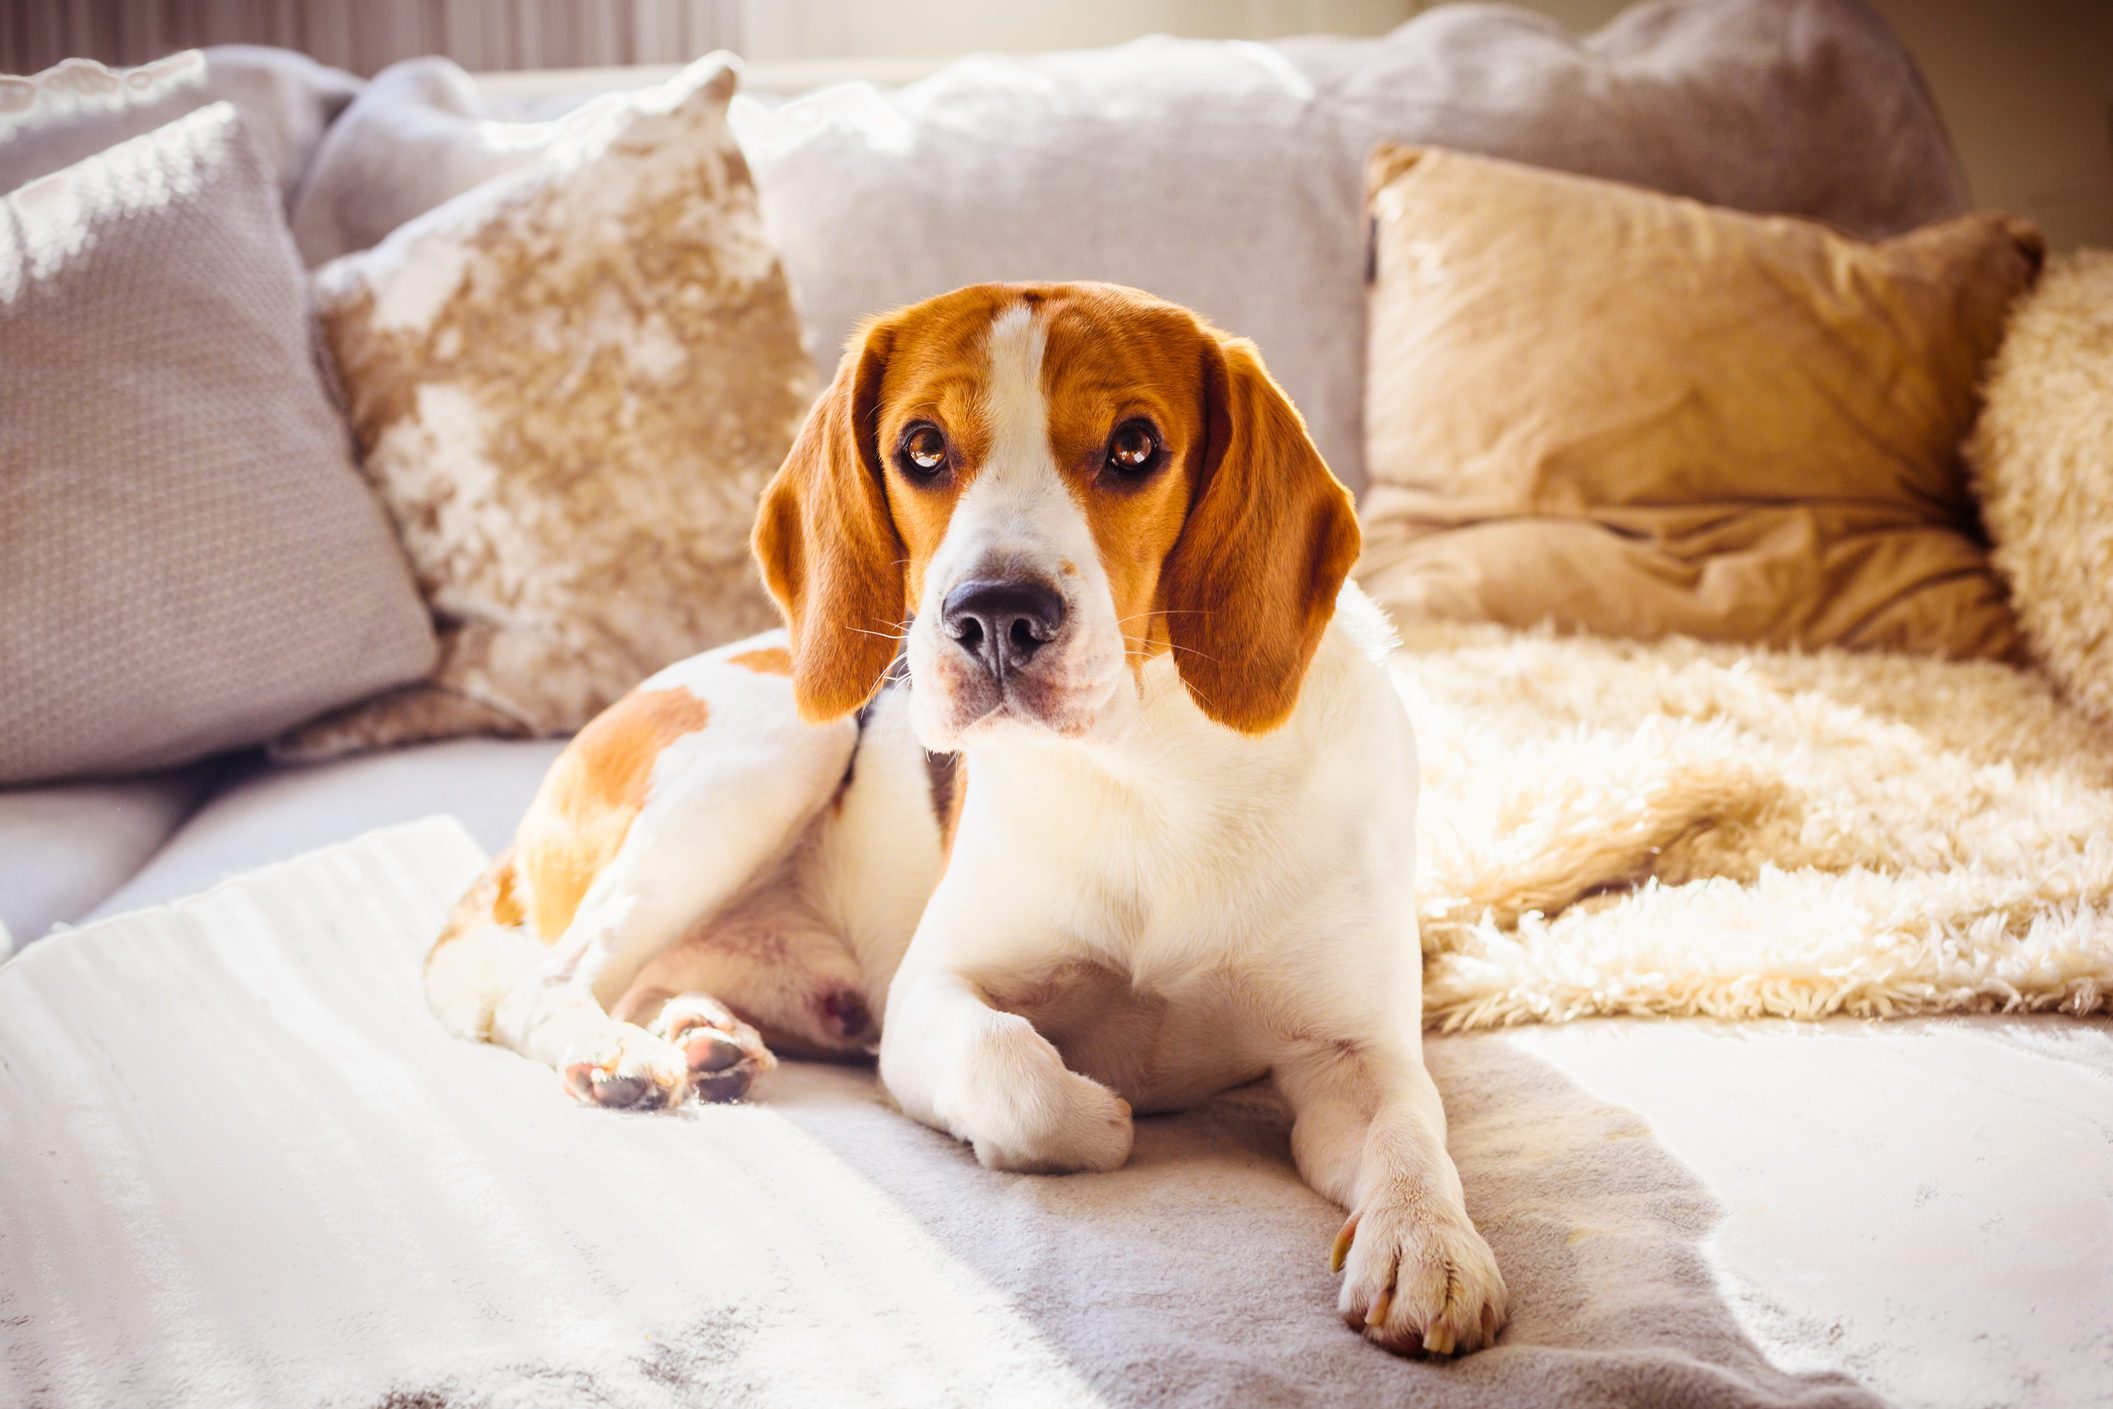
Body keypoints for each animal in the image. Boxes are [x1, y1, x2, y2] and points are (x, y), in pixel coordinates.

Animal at [428, 278, 1512, 1351]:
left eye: (1134, 446)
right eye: (920, 447)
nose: (995, 612)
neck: (1149, 770)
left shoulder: (1356, 1053)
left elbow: (1410, 1135)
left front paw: (1426, 1243)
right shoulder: (929, 1000)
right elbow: (1021, 1075)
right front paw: (1097, 1114)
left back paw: (704, 1035)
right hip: (779, 747)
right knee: (549, 982)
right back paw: (619, 1054)